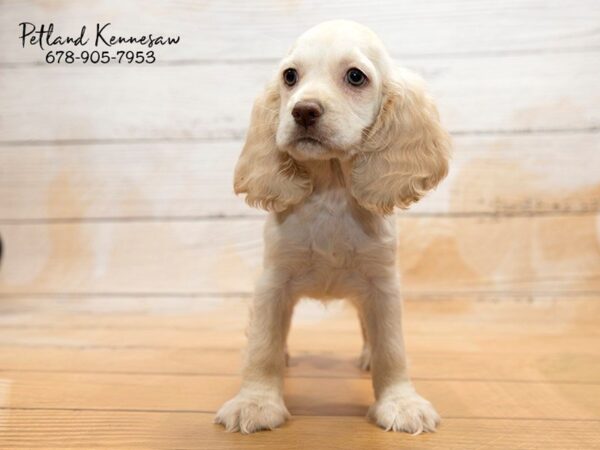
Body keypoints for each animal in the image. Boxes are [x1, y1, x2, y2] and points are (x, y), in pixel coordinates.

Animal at [216, 20, 450, 432]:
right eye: (289, 76)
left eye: (355, 76)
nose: (303, 111)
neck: (332, 190)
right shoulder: (273, 283)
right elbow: (262, 346)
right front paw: (255, 403)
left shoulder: (382, 286)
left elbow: (392, 347)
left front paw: (401, 403)